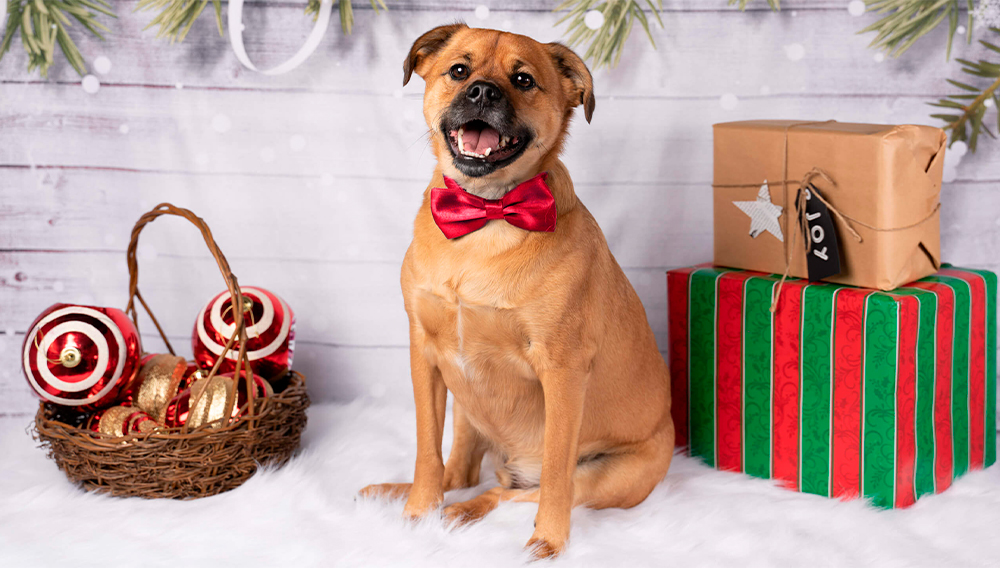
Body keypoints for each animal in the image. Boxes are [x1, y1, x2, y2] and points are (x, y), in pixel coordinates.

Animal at [360, 24, 672, 556]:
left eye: (524, 79)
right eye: (458, 70)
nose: (482, 92)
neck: (485, 217)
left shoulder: (563, 371)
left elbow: (555, 473)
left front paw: (548, 539)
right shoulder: (425, 353)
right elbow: (427, 450)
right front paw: (418, 512)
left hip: (610, 475)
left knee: (518, 491)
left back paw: (466, 511)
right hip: (466, 406)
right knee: (461, 472)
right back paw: (406, 493)